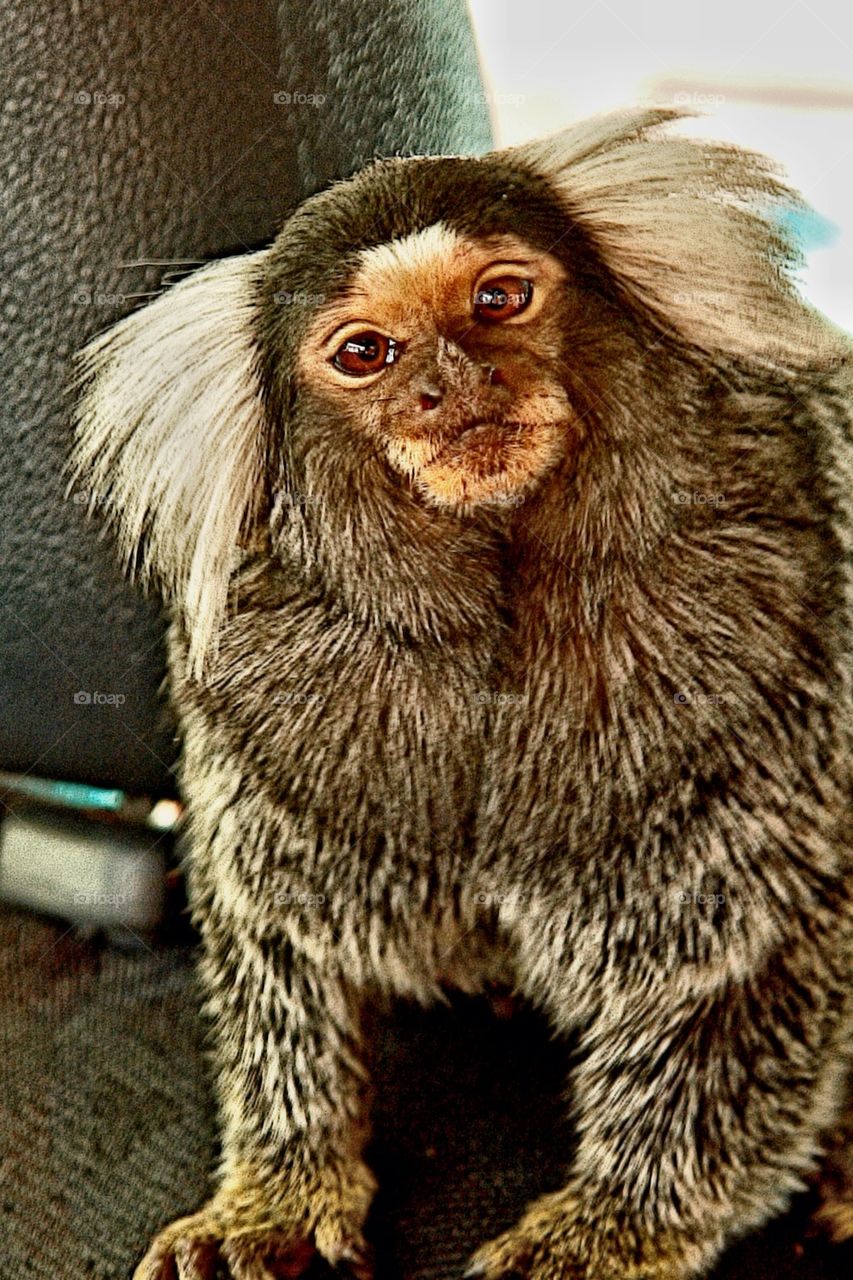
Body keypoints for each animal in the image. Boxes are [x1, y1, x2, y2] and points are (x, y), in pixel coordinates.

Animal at [69, 106, 852, 1280]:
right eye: (365, 352)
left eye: (497, 299)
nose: (452, 386)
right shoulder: (259, 709)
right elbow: (278, 942)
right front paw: (277, 1190)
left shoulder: (778, 655)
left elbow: (736, 972)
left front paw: (609, 1228)